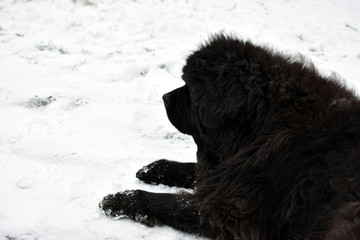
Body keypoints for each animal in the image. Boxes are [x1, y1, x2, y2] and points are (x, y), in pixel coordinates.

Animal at [99, 34, 360, 240]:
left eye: (190, 88)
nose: (165, 97)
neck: (258, 126)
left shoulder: (228, 210)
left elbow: (169, 202)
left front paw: (118, 199)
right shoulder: (231, 170)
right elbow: (197, 172)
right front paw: (155, 168)